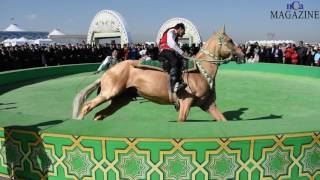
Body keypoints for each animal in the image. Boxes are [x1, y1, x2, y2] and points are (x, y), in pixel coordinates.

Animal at [74, 26, 245, 122]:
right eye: (230, 40)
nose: (242, 55)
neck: (201, 71)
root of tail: (109, 71)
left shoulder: (208, 105)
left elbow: (223, 120)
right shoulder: (185, 103)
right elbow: (181, 120)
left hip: (119, 100)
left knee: (99, 115)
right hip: (109, 93)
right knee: (87, 106)